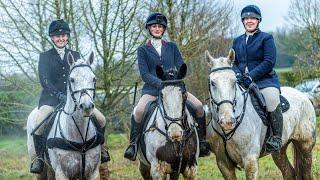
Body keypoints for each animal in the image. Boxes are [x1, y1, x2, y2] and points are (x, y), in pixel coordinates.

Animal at [206, 49, 316, 180]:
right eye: (212, 83)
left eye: (234, 82)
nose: (227, 121)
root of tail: (304, 95)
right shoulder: (223, 164)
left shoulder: (250, 161)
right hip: (279, 150)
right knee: (289, 172)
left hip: (305, 146)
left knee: (306, 173)